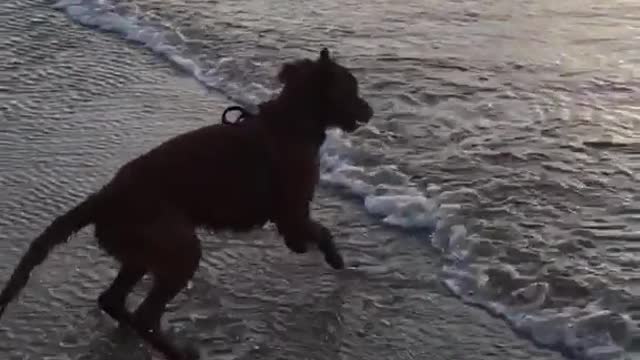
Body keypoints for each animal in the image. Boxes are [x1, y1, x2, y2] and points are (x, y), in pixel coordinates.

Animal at [0, 47, 376, 360]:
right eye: (352, 89)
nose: (371, 110)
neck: (290, 122)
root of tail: (104, 197)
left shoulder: (292, 216)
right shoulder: (293, 212)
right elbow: (322, 232)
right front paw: (334, 258)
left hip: (142, 253)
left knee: (114, 300)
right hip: (180, 248)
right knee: (144, 314)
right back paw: (177, 351)